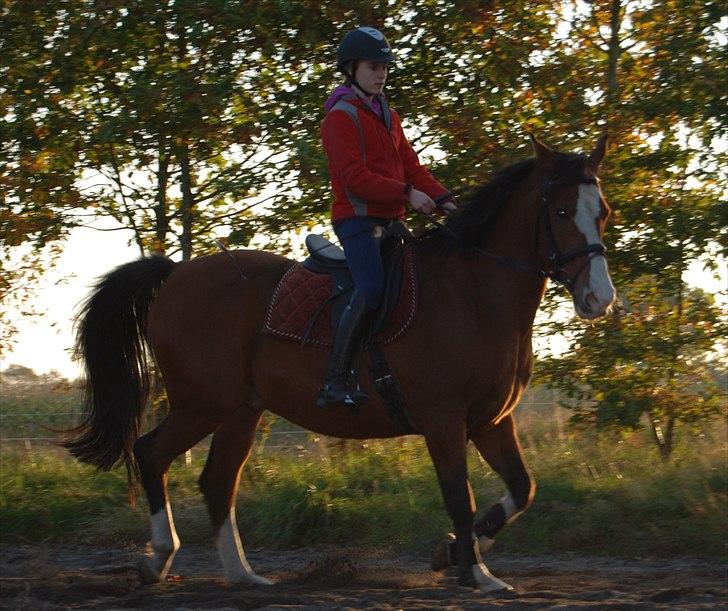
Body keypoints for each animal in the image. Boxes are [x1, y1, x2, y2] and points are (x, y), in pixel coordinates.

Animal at [67, 136, 616, 596]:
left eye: (604, 213)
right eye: (562, 211)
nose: (599, 298)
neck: (472, 293)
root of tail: (176, 273)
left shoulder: (491, 422)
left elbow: (522, 489)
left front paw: (452, 553)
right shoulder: (444, 421)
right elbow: (461, 498)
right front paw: (475, 573)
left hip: (242, 410)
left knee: (218, 483)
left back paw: (243, 576)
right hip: (201, 403)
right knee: (151, 453)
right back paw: (158, 559)